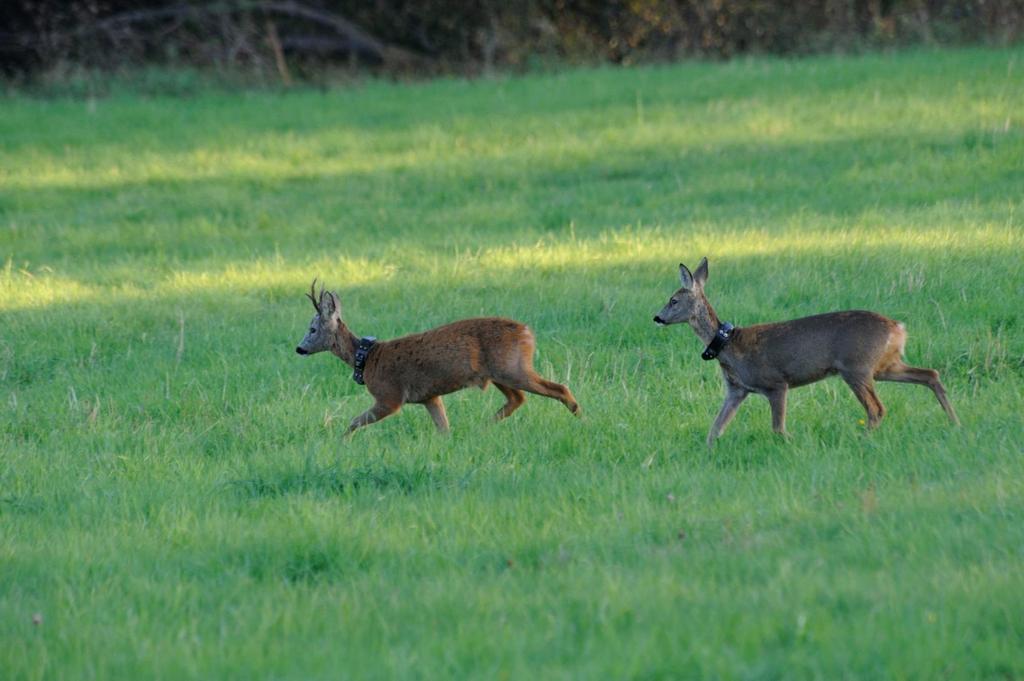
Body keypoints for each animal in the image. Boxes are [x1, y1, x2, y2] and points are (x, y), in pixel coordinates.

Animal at [299, 278, 585, 432]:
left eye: (312, 329)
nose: (299, 348)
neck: (367, 358)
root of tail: (528, 333)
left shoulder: (390, 396)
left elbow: (354, 422)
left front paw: (340, 441)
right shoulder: (430, 397)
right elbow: (443, 427)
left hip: (512, 368)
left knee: (558, 388)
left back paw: (581, 417)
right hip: (500, 373)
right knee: (517, 399)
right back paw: (483, 426)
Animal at [655, 256, 958, 446]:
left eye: (673, 300)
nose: (657, 317)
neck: (729, 344)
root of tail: (898, 328)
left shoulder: (776, 383)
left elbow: (778, 428)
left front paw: (793, 443)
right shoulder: (736, 390)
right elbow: (715, 428)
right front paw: (706, 451)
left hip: (856, 366)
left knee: (877, 408)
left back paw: (863, 439)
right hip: (884, 365)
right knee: (929, 374)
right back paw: (955, 423)